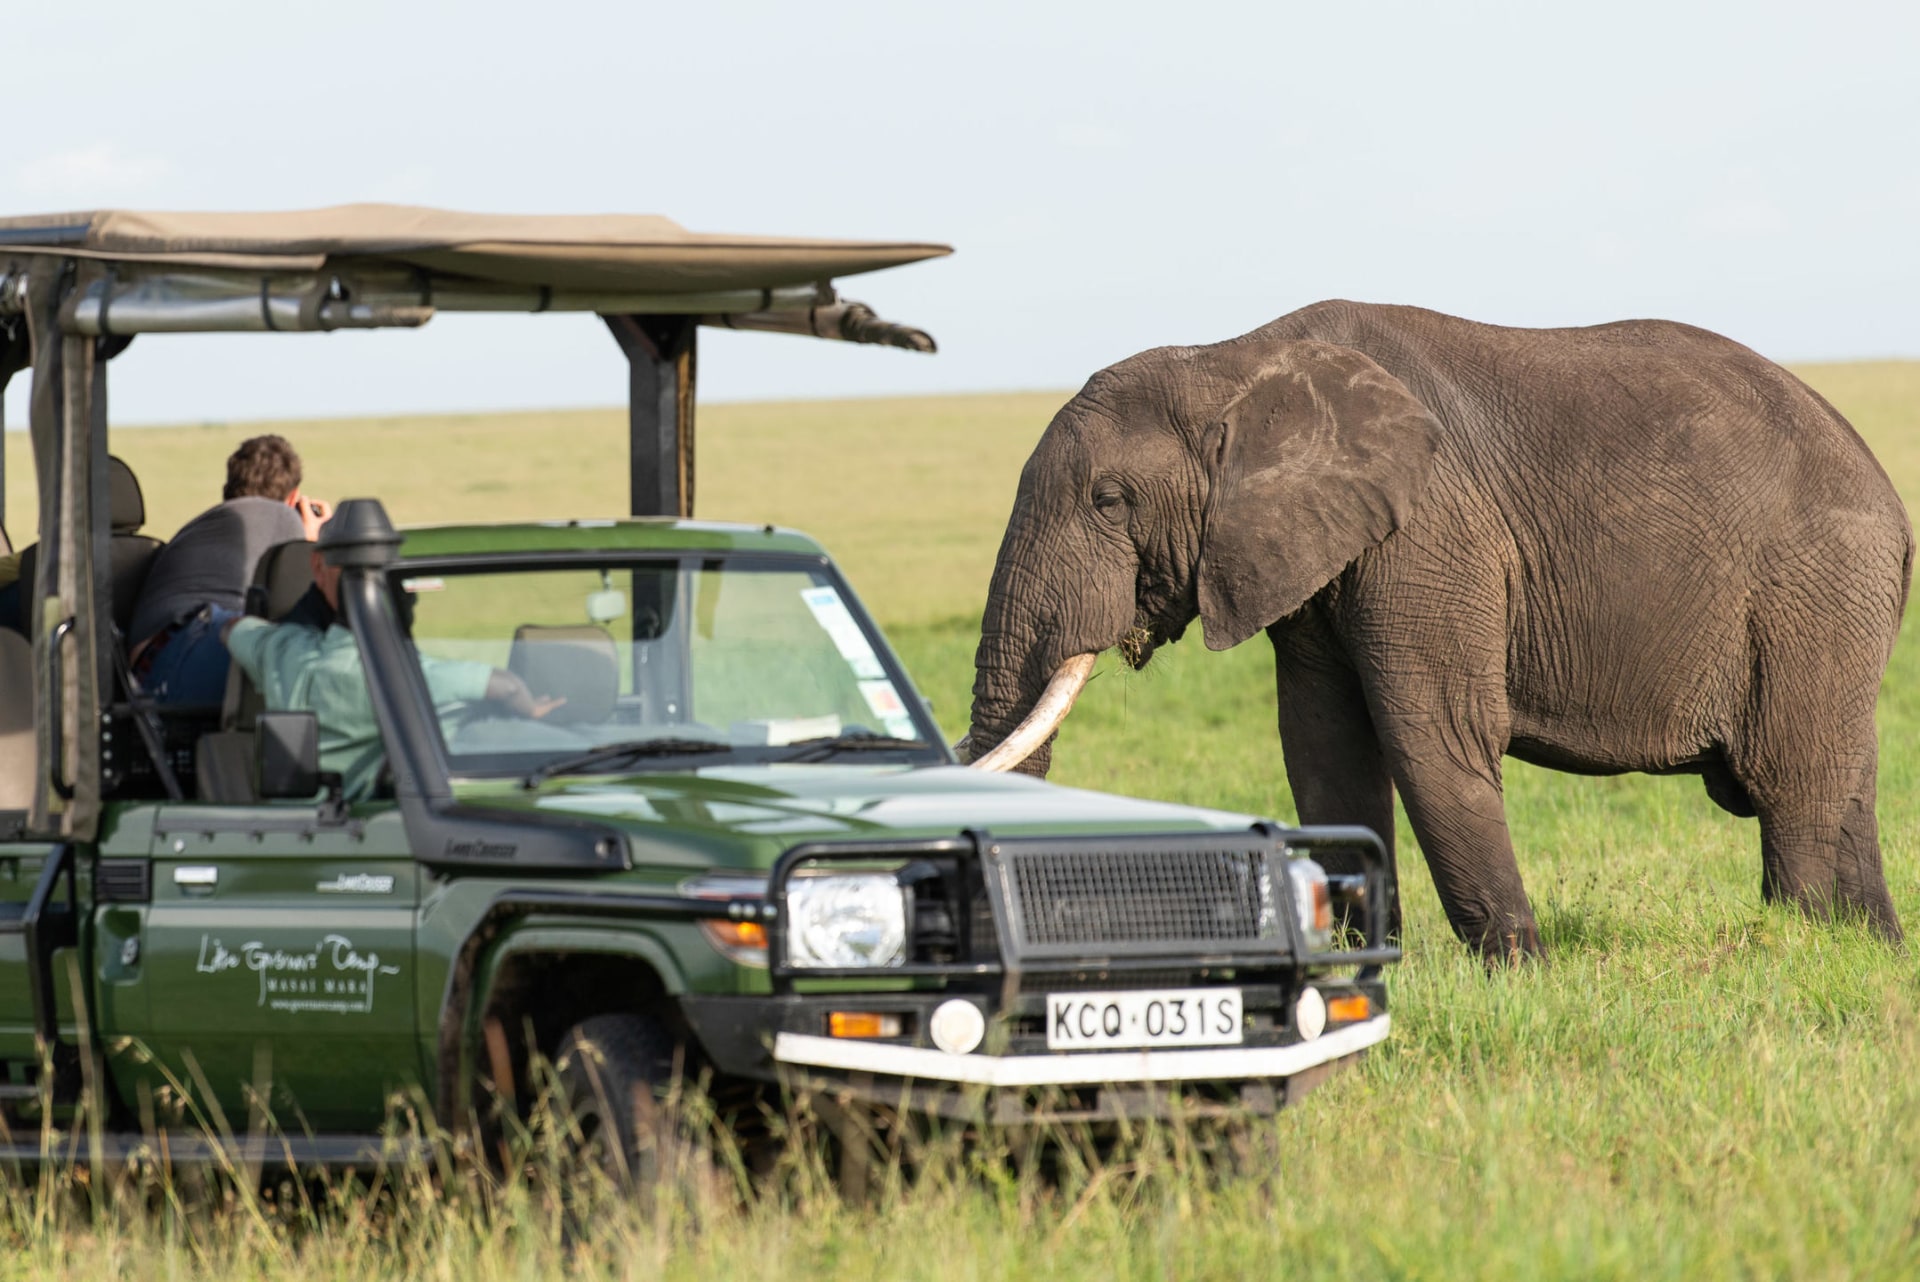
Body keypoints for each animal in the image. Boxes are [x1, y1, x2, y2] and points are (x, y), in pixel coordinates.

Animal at [967, 303, 1912, 959]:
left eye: (1108, 501)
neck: (1230, 359)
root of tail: (1889, 499)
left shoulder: (1429, 536)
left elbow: (1433, 738)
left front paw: (1521, 975)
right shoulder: (1314, 562)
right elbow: (1322, 749)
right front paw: (1353, 967)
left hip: (1812, 591)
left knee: (1791, 781)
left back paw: (1796, 950)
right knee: (1849, 784)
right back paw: (1873, 955)